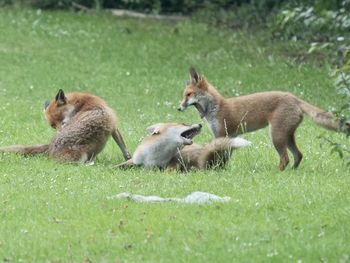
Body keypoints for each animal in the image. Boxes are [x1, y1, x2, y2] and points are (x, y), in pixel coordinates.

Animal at [0, 89, 131, 162]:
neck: (82, 103)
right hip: (81, 155)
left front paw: (128, 158)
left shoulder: (113, 127)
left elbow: (123, 147)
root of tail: (50, 147)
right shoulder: (113, 125)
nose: (58, 133)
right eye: (53, 126)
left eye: (62, 123)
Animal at [117, 123, 252, 171]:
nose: (200, 124)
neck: (153, 157)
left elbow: (169, 169)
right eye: (183, 124)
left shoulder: (172, 162)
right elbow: (119, 166)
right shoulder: (135, 161)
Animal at [178, 68, 350, 171]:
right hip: (287, 136)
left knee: (285, 159)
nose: (178, 108)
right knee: (298, 155)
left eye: (189, 95)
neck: (216, 108)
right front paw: (222, 168)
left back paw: (277, 173)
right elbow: (226, 156)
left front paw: (218, 169)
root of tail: (294, 97)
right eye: (184, 95)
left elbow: (219, 154)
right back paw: (292, 172)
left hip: (276, 136)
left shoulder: (222, 134)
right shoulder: (231, 136)